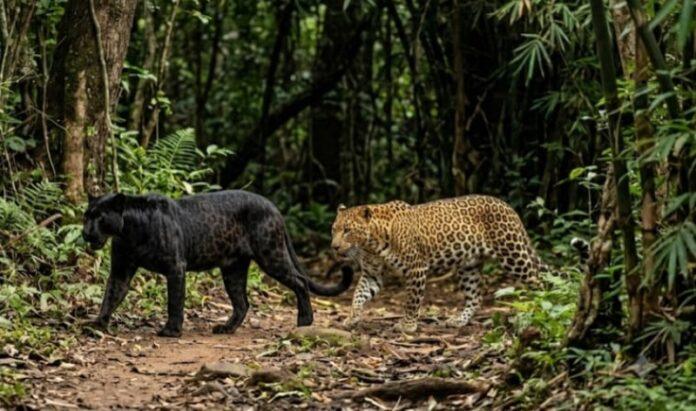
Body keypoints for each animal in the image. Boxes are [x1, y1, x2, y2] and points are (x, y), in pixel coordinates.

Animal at [330, 195, 550, 333]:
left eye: (348, 230)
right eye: (334, 229)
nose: (334, 247)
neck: (371, 244)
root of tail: (509, 207)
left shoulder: (416, 268)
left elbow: (412, 300)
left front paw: (408, 325)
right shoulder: (372, 274)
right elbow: (358, 295)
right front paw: (352, 317)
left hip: (513, 255)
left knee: (538, 280)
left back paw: (542, 308)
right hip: (468, 266)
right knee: (476, 296)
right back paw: (458, 320)